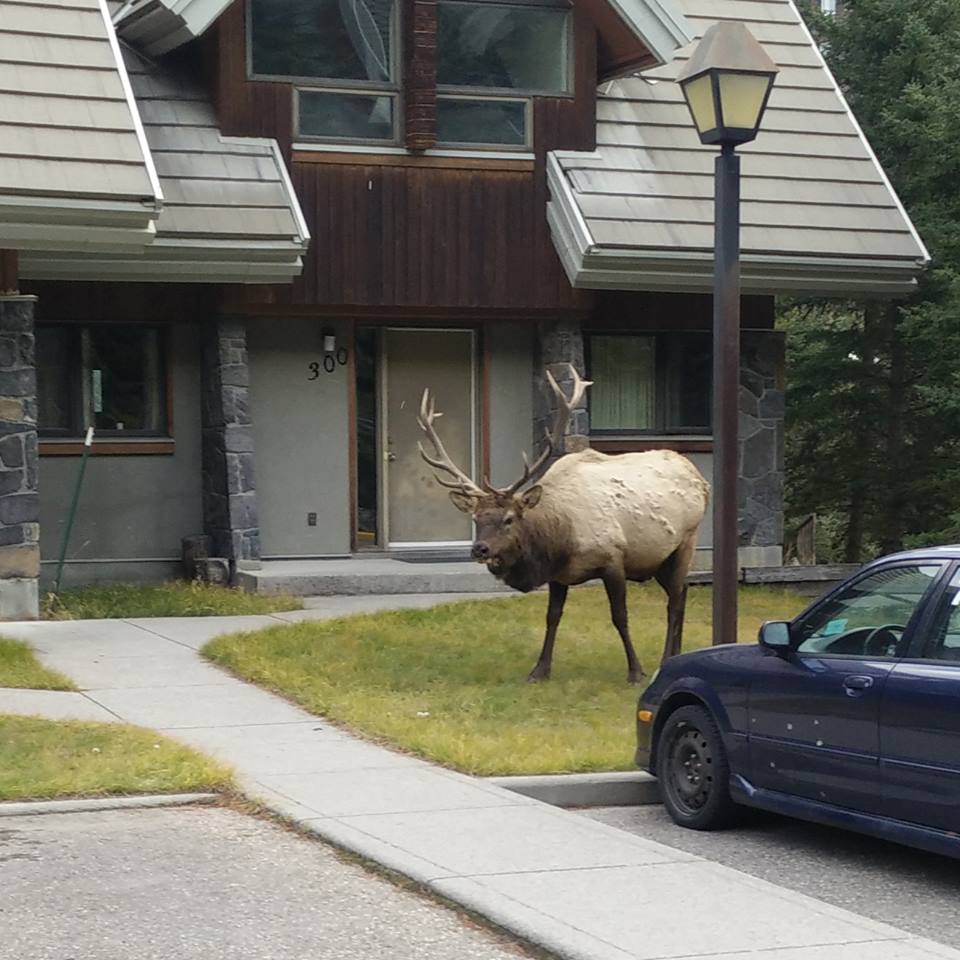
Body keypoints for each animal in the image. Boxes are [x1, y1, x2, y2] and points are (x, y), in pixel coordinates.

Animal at [417, 364, 710, 683]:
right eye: (475, 518)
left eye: (509, 519)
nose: (479, 549)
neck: (559, 538)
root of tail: (699, 477)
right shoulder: (558, 575)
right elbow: (552, 617)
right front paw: (539, 671)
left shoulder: (613, 559)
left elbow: (620, 617)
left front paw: (635, 671)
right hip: (657, 559)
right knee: (681, 593)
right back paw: (676, 655)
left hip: (686, 541)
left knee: (675, 600)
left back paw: (664, 660)